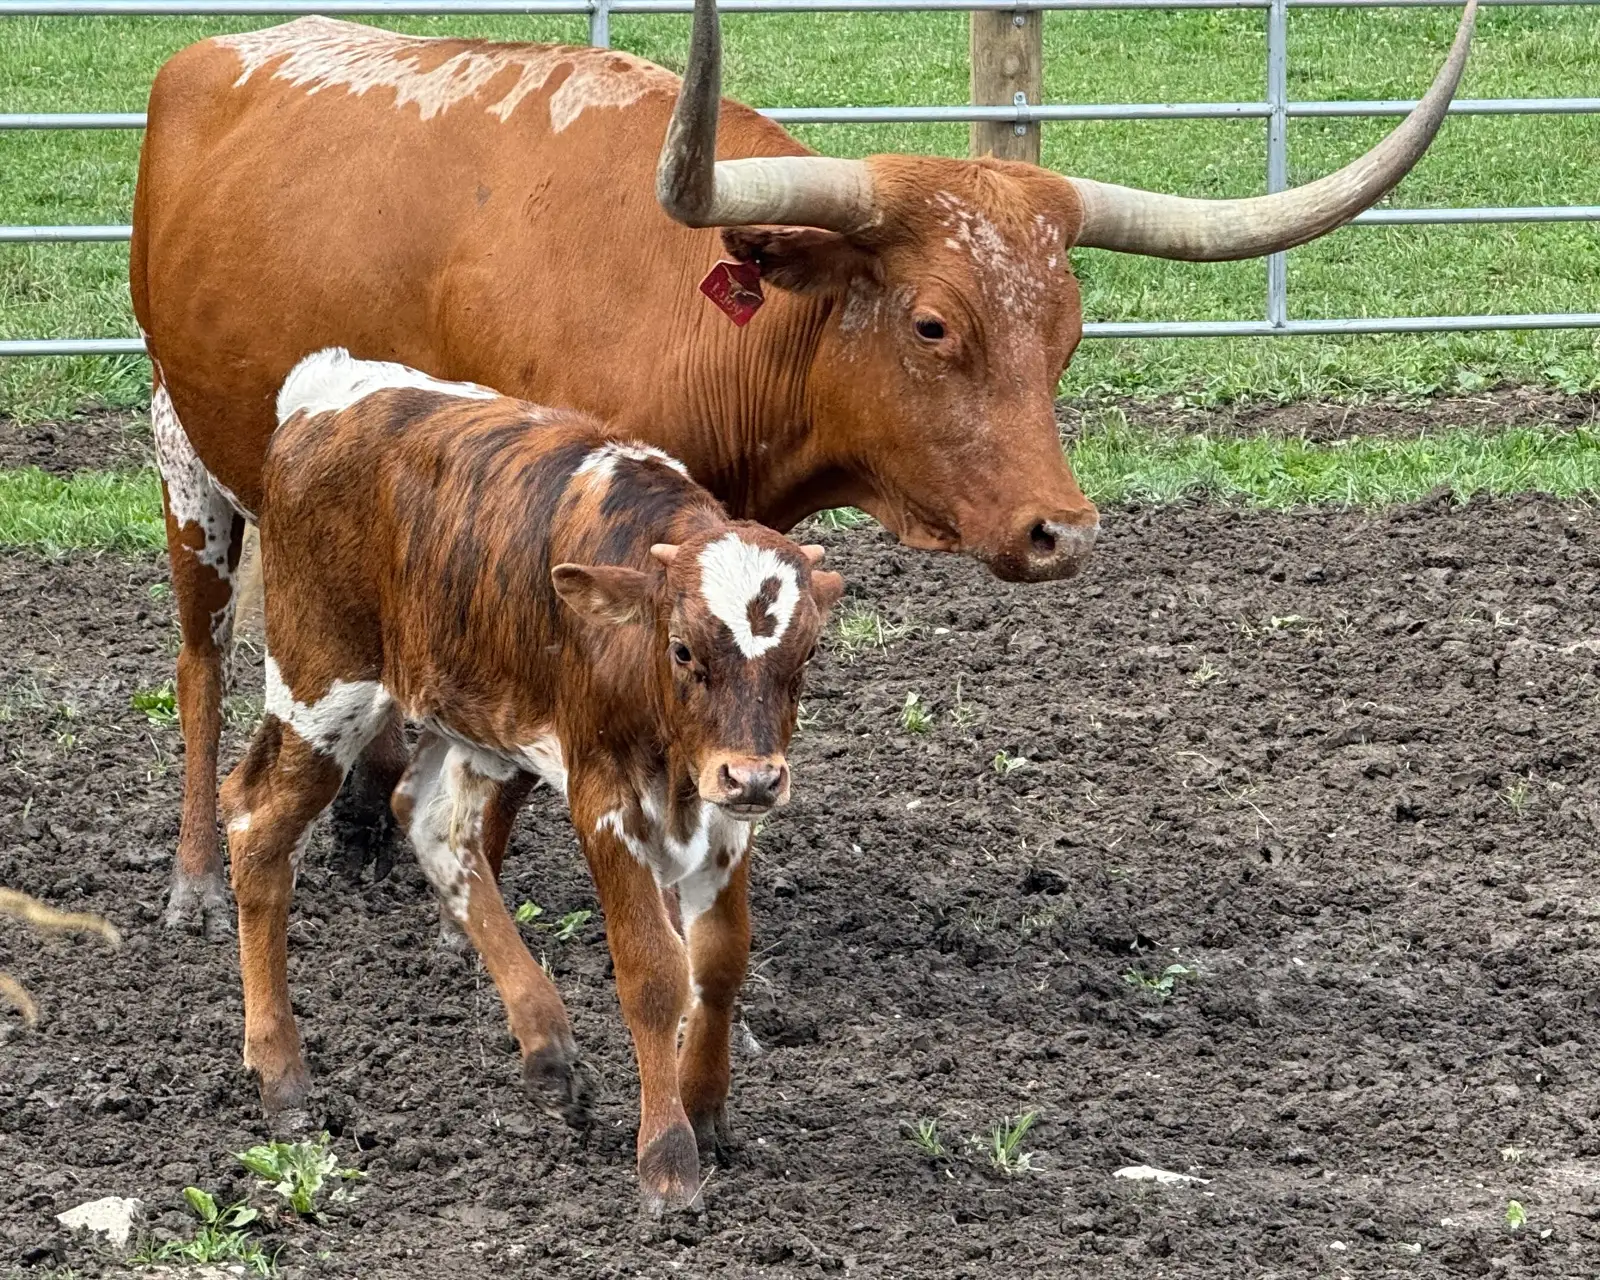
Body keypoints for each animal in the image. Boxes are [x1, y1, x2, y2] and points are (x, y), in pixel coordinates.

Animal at [131, 0, 1476, 935]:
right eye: (932, 324)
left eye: (1068, 330)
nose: (1062, 530)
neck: (686, 314)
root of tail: (217, 54)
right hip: (186, 457)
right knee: (200, 662)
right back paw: (197, 879)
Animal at [225, 347, 843, 1211]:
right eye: (684, 649)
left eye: (806, 656)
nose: (757, 776)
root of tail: (328, 386)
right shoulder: (605, 800)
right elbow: (654, 972)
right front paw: (669, 1158)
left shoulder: (724, 810)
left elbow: (718, 961)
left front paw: (706, 1105)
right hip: (323, 685)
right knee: (257, 825)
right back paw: (280, 1071)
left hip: (470, 714)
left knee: (431, 821)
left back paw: (546, 1044)